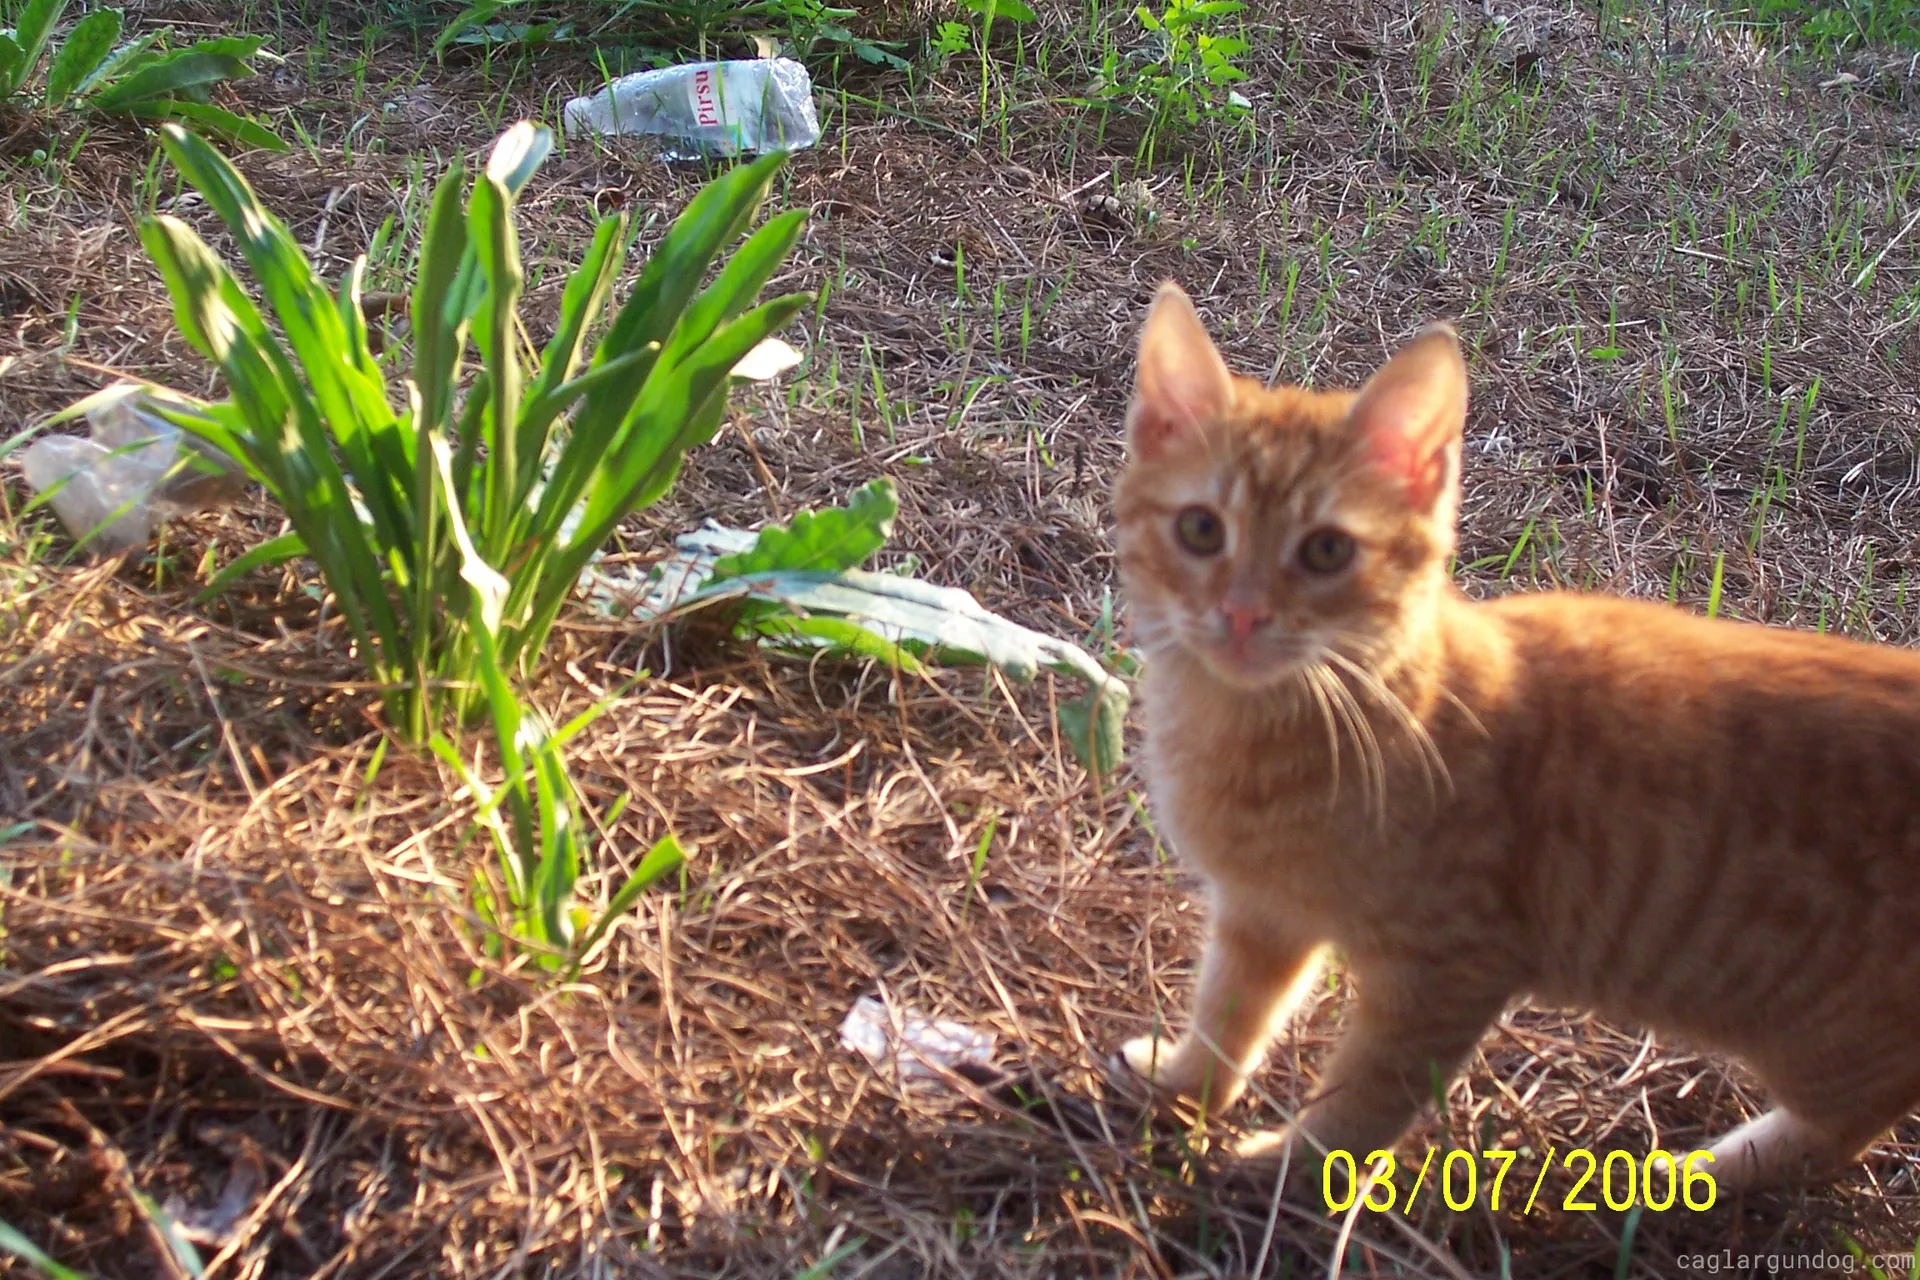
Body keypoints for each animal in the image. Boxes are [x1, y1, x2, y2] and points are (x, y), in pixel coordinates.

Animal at [1112, 280, 1920, 1193]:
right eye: (1201, 530)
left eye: (1325, 551)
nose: (1243, 614)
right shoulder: (1261, 916)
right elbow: (1230, 1016)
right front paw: (1184, 1087)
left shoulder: (1445, 971)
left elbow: (1365, 1095)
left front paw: (1292, 1165)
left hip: (1839, 1043)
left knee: (1845, 1128)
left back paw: (1698, 1174)